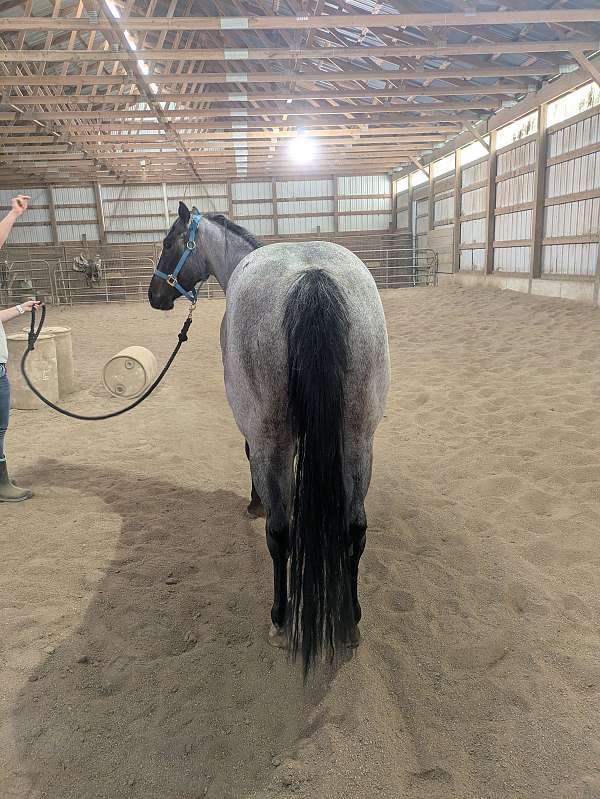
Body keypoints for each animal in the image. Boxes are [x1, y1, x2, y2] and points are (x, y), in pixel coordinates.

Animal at [148, 202, 390, 677]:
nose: (154, 295)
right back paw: (351, 620)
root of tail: (312, 279)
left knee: (280, 533)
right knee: (354, 528)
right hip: (359, 441)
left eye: (168, 243)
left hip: (272, 439)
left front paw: (254, 502)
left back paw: (280, 618)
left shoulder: (255, 433)